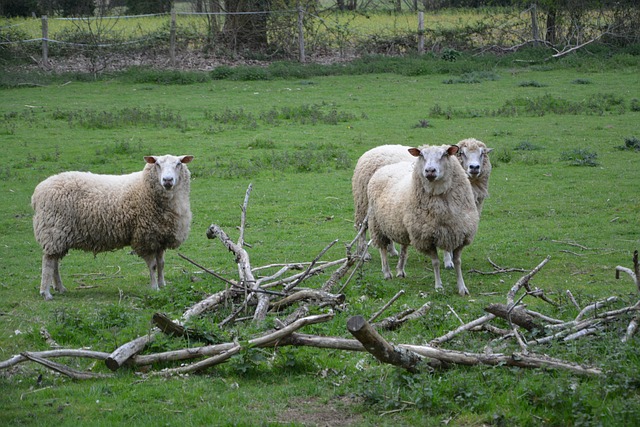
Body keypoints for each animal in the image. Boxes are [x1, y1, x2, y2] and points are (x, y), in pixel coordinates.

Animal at [32, 155, 192, 300]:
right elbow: (153, 265)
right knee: (48, 262)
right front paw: (154, 288)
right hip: (53, 230)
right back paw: (45, 292)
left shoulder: (160, 238)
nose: (167, 180)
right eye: (157, 164)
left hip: (60, 235)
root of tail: (38, 191)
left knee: (55, 262)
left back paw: (59, 287)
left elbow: (161, 264)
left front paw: (162, 284)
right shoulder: (145, 237)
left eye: (178, 163)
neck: (144, 188)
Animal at [364, 145, 480, 296]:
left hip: (402, 227)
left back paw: (400, 270)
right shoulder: (426, 238)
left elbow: (457, 262)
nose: (430, 170)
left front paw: (462, 287)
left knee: (404, 248)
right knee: (383, 249)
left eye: (444, 154)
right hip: (377, 224)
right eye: (422, 155)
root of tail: (386, 167)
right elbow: (435, 262)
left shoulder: (459, 235)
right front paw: (438, 286)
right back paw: (387, 273)